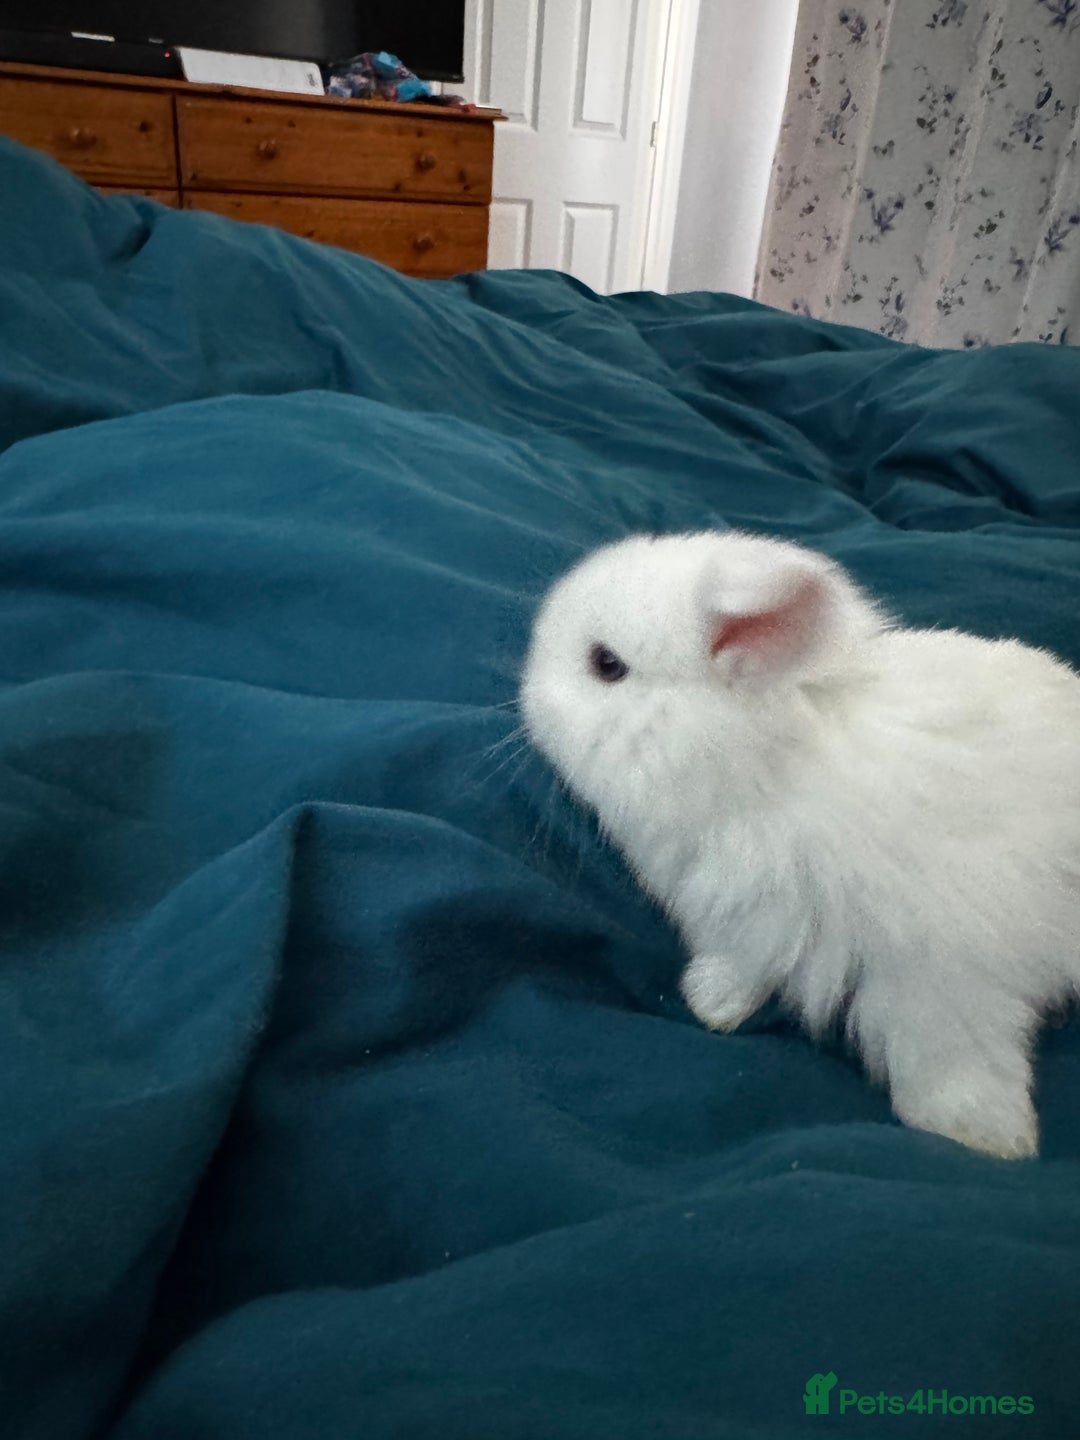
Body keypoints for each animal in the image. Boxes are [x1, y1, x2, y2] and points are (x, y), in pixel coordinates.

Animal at [519, 530, 1080, 1160]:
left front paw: (983, 1135)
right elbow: (741, 969)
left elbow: (950, 1052)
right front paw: (710, 1003)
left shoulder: (944, 973)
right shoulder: (748, 925)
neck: (764, 773)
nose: (526, 692)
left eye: (606, 664)